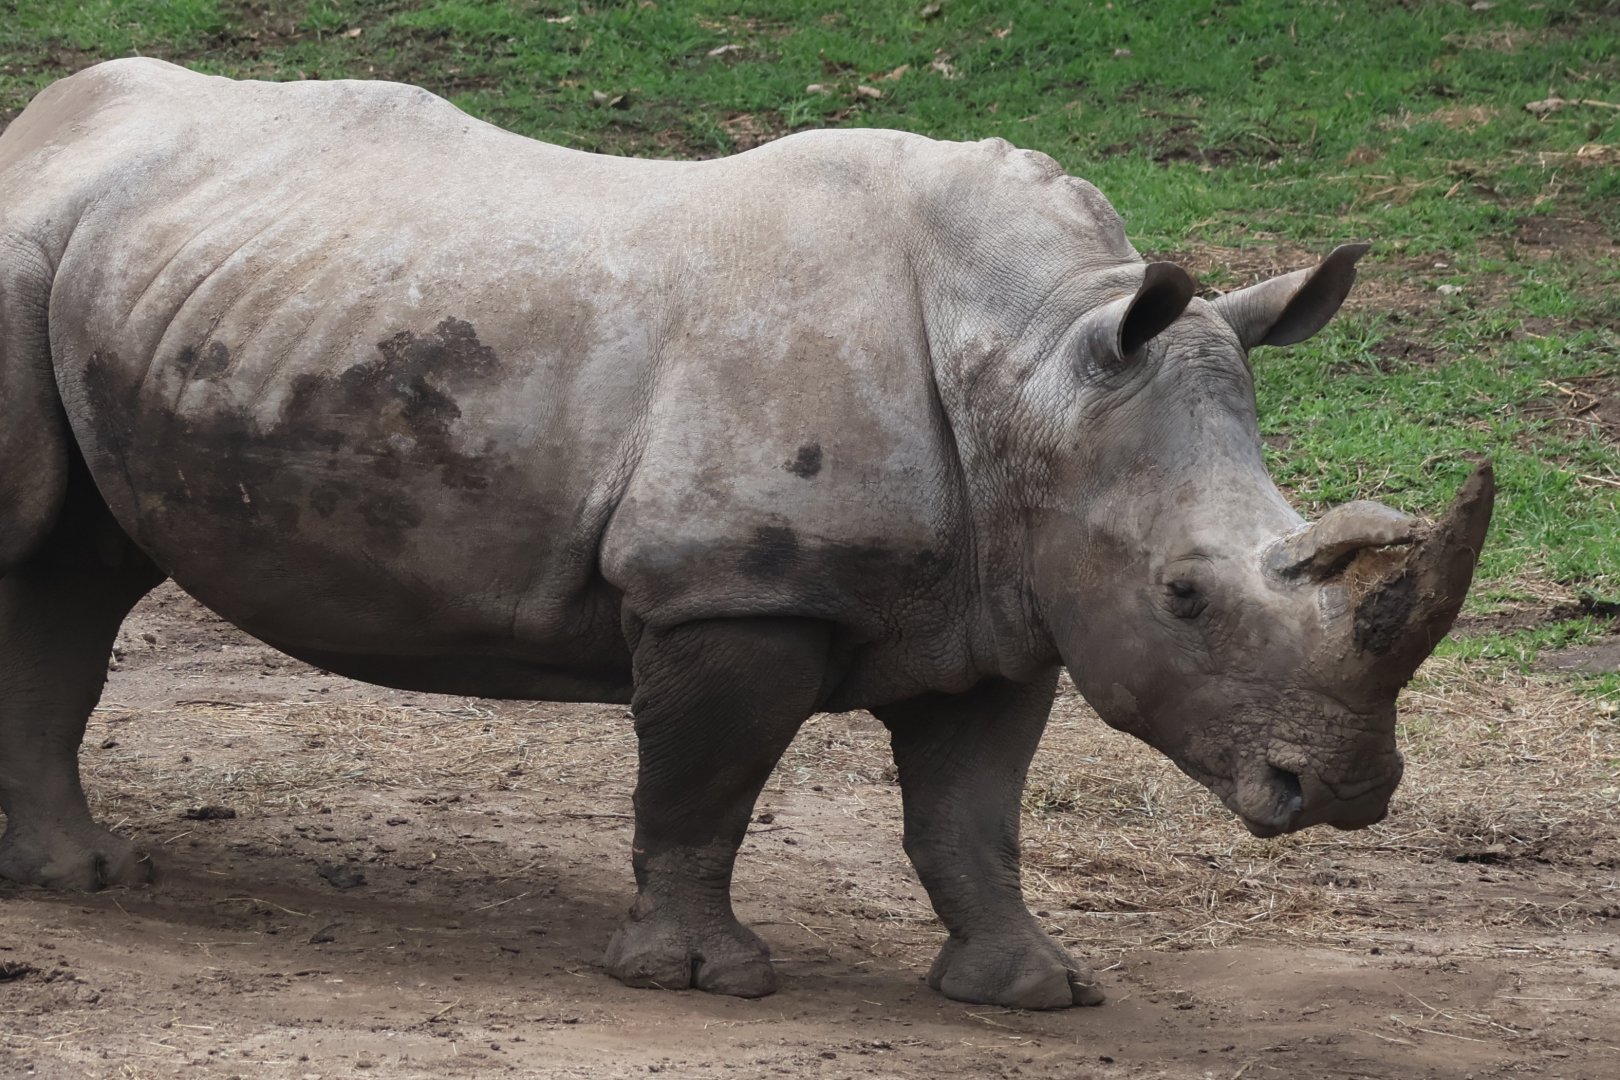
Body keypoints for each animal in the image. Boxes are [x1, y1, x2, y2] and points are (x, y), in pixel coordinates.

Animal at [0, 59, 1491, 1009]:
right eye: (1185, 594)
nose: (1344, 791)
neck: (1038, 370)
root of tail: (43, 122)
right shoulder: (729, 587)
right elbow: (704, 785)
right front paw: (698, 980)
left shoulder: (1015, 597)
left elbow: (973, 816)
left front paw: (1033, 991)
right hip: (25, 253)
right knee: (36, 543)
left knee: (74, 578)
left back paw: (80, 877)